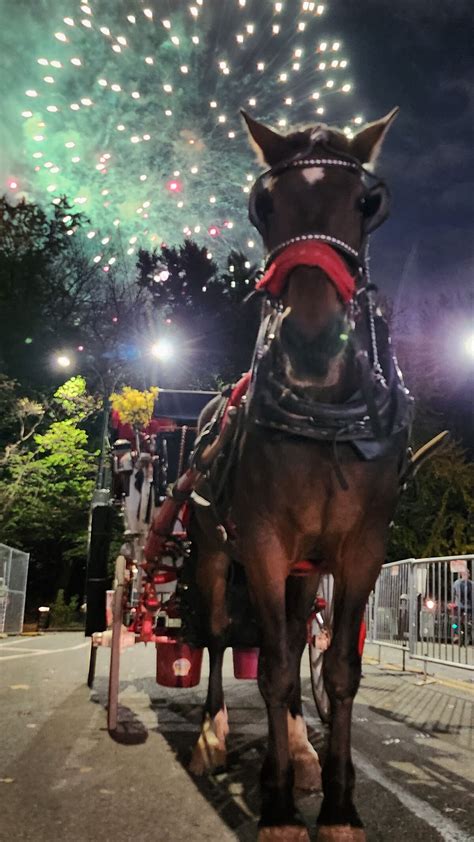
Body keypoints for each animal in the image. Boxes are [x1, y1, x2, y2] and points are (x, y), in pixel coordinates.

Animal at [147, 108, 414, 841]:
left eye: (368, 203)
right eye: (263, 206)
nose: (313, 347)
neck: (324, 419)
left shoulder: (359, 550)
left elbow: (335, 670)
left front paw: (338, 802)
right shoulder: (263, 543)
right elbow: (266, 671)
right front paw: (276, 807)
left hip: (303, 570)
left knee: (296, 641)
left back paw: (297, 749)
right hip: (213, 551)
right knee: (216, 634)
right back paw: (213, 734)